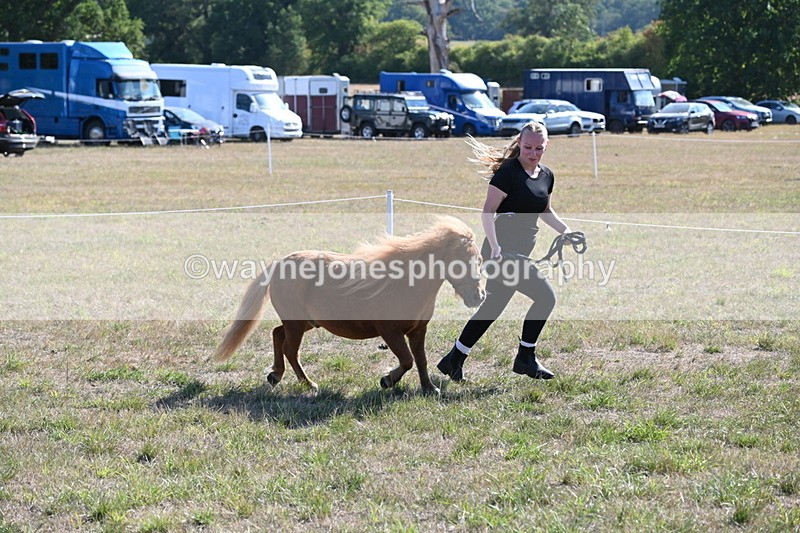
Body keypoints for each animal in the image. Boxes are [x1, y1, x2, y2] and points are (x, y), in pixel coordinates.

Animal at [213, 216, 486, 395]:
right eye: (463, 261)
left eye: (480, 260)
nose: (479, 296)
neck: (405, 283)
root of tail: (280, 264)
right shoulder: (391, 332)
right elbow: (407, 360)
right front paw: (387, 380)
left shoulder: (418, 331)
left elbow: (421, 359)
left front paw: (430, 388)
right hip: (297, 324)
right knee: (290, 349)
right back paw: (308, 384)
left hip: (305, 322)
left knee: (277, 334)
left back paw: (275, 375)